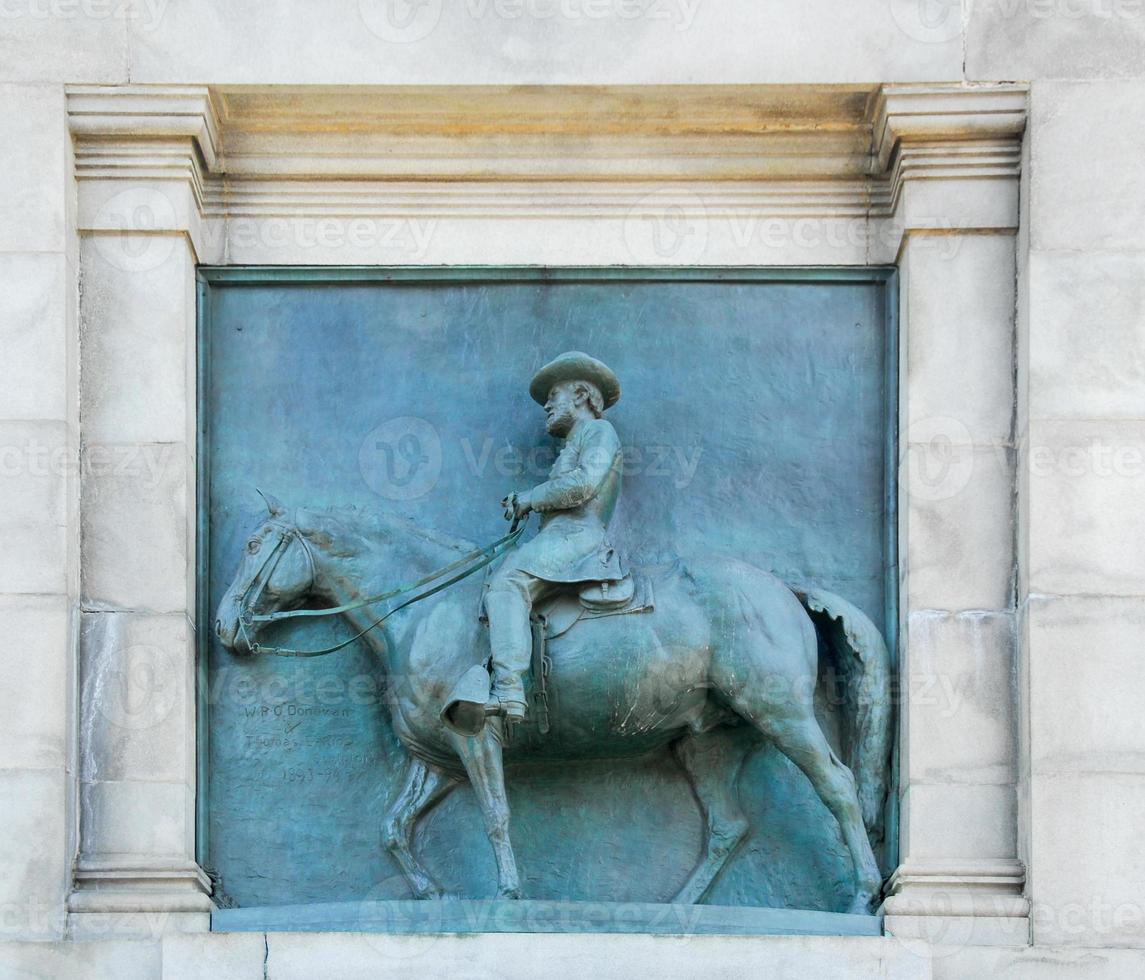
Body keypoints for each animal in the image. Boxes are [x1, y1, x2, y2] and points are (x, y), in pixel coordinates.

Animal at [215, 494, 893, 915]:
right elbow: (393, 828)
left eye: (252, 545)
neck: (422, 610)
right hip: (708, 742)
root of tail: (785, 587)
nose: (223, 626)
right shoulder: (435, 759)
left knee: (837, 786)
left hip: (781, 715)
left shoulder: (474, 737)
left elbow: (495, 814)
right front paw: (432, 895)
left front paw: (507, 895)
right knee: (728, 825)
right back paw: (676, 910)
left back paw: (860, 895)